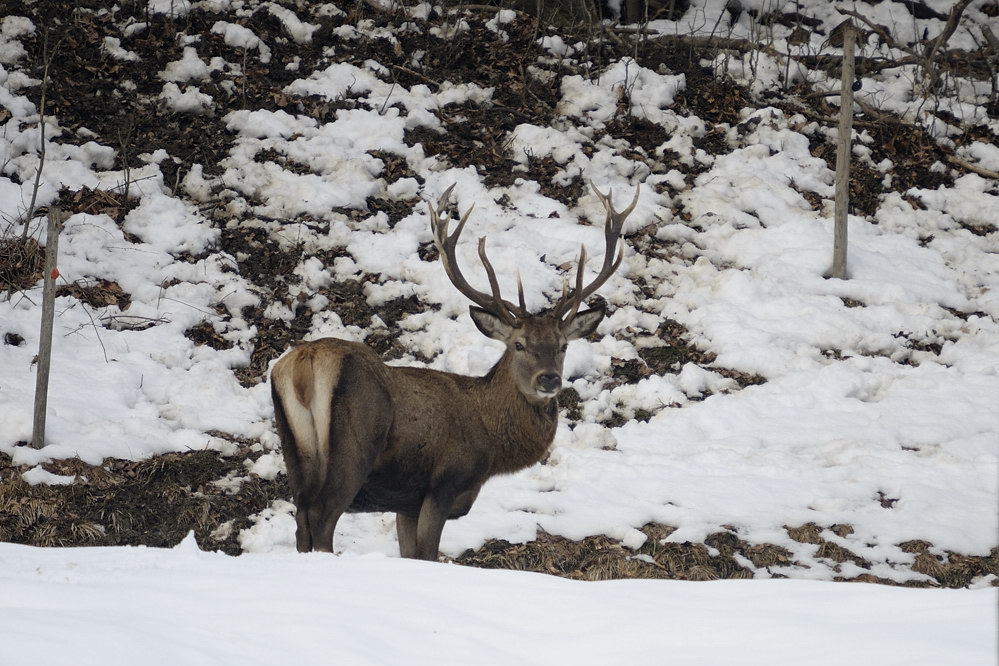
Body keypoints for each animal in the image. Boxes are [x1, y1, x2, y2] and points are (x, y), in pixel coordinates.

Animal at [270, 183, 636, 560]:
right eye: (518, 345)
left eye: (562, 345)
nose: (549, 378)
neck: (491, 446)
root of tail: (306, 362)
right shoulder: (443, 483)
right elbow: (428, 554)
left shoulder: (406, 503)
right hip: (354, 448)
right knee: (322, 520)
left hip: (295, 452)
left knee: (301, 521)